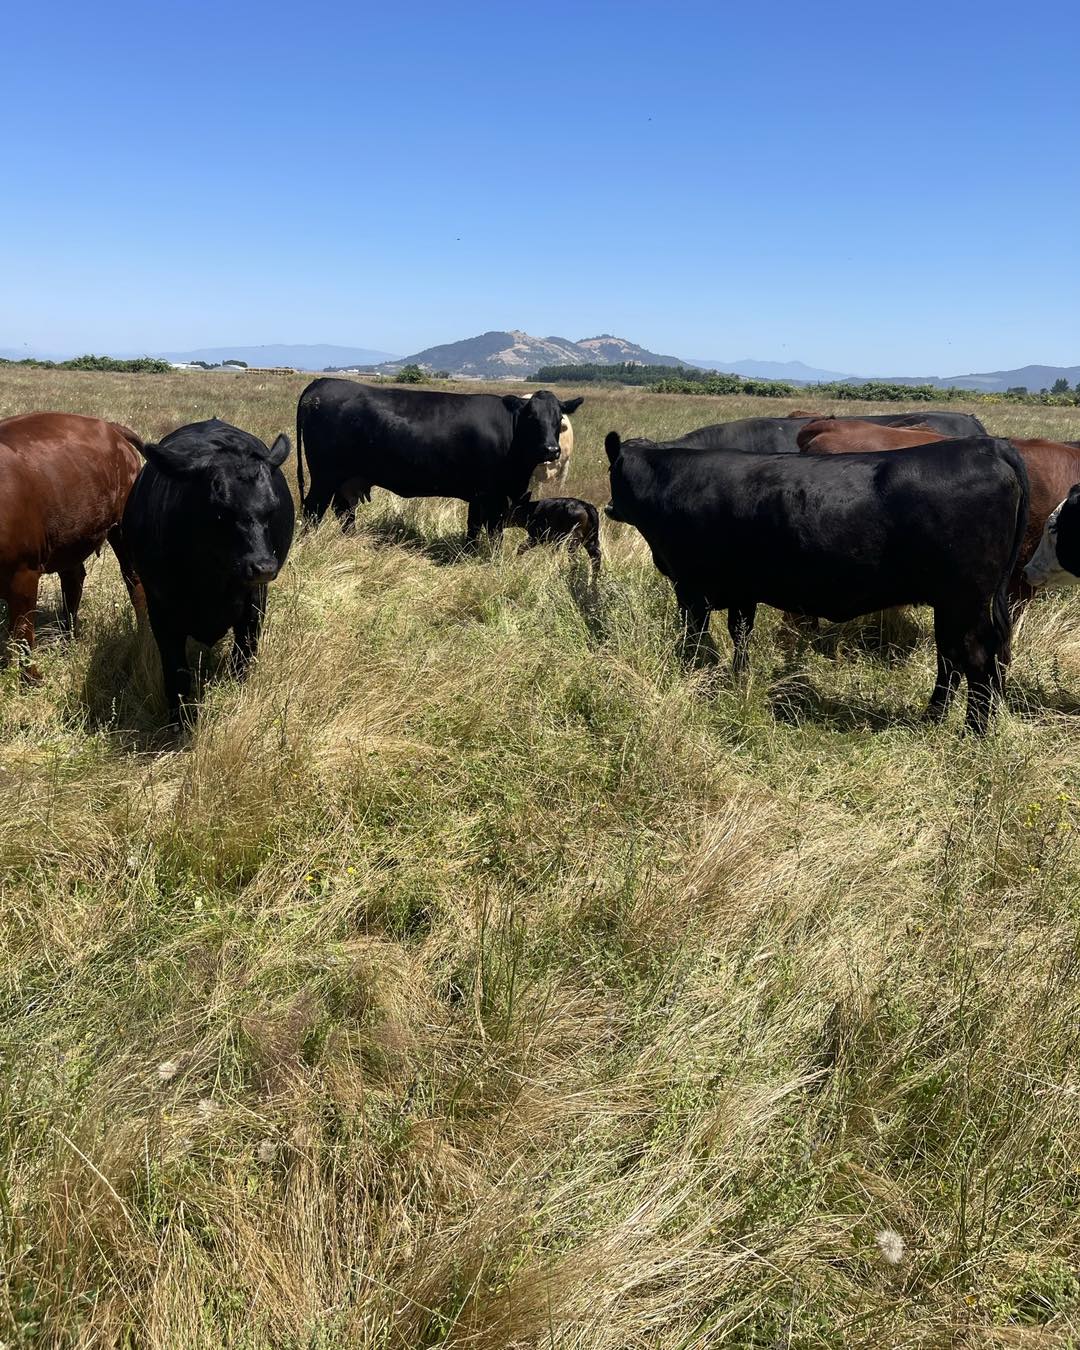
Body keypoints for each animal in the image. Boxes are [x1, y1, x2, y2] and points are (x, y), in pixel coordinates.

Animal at [0, 412, 143, 681]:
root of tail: (111, 428)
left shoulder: (23, 573)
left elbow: (23, 632)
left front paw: (32, 678)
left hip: (122, 529)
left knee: (134, 582)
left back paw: (144, 638)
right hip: (71, 535)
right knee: (73, 580)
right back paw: (67, 639)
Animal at [122, 419, 294, 724]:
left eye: (272, 508)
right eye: (220, 510)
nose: (262, 566)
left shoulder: (254, 603)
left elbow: (243, 658)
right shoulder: (161, 610)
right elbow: (176, 674)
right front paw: (180, 722)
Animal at [295, 379, 585, 541]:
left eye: (559, 419)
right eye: (531, 418)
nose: (551, 450)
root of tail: (320, 383)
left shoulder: (479, 493)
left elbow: (473, 526)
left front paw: (468, 553)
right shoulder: (494, 495)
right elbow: (493, 531)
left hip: (348, 478)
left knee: (344, 510)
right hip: (324, 475)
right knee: (313, 510)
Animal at [604, 432, 1028, 734]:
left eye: (611, 474)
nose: (608, 508)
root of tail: (988, 446)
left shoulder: (691, 589)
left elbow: (695, 640)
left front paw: (697, 678)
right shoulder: (741, 589)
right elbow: (741, 634)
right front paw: (740, 680)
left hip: (965, 599)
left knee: (974, 658)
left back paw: (972, 734)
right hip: (953, 602)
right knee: (952, 656)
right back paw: (935, 717)